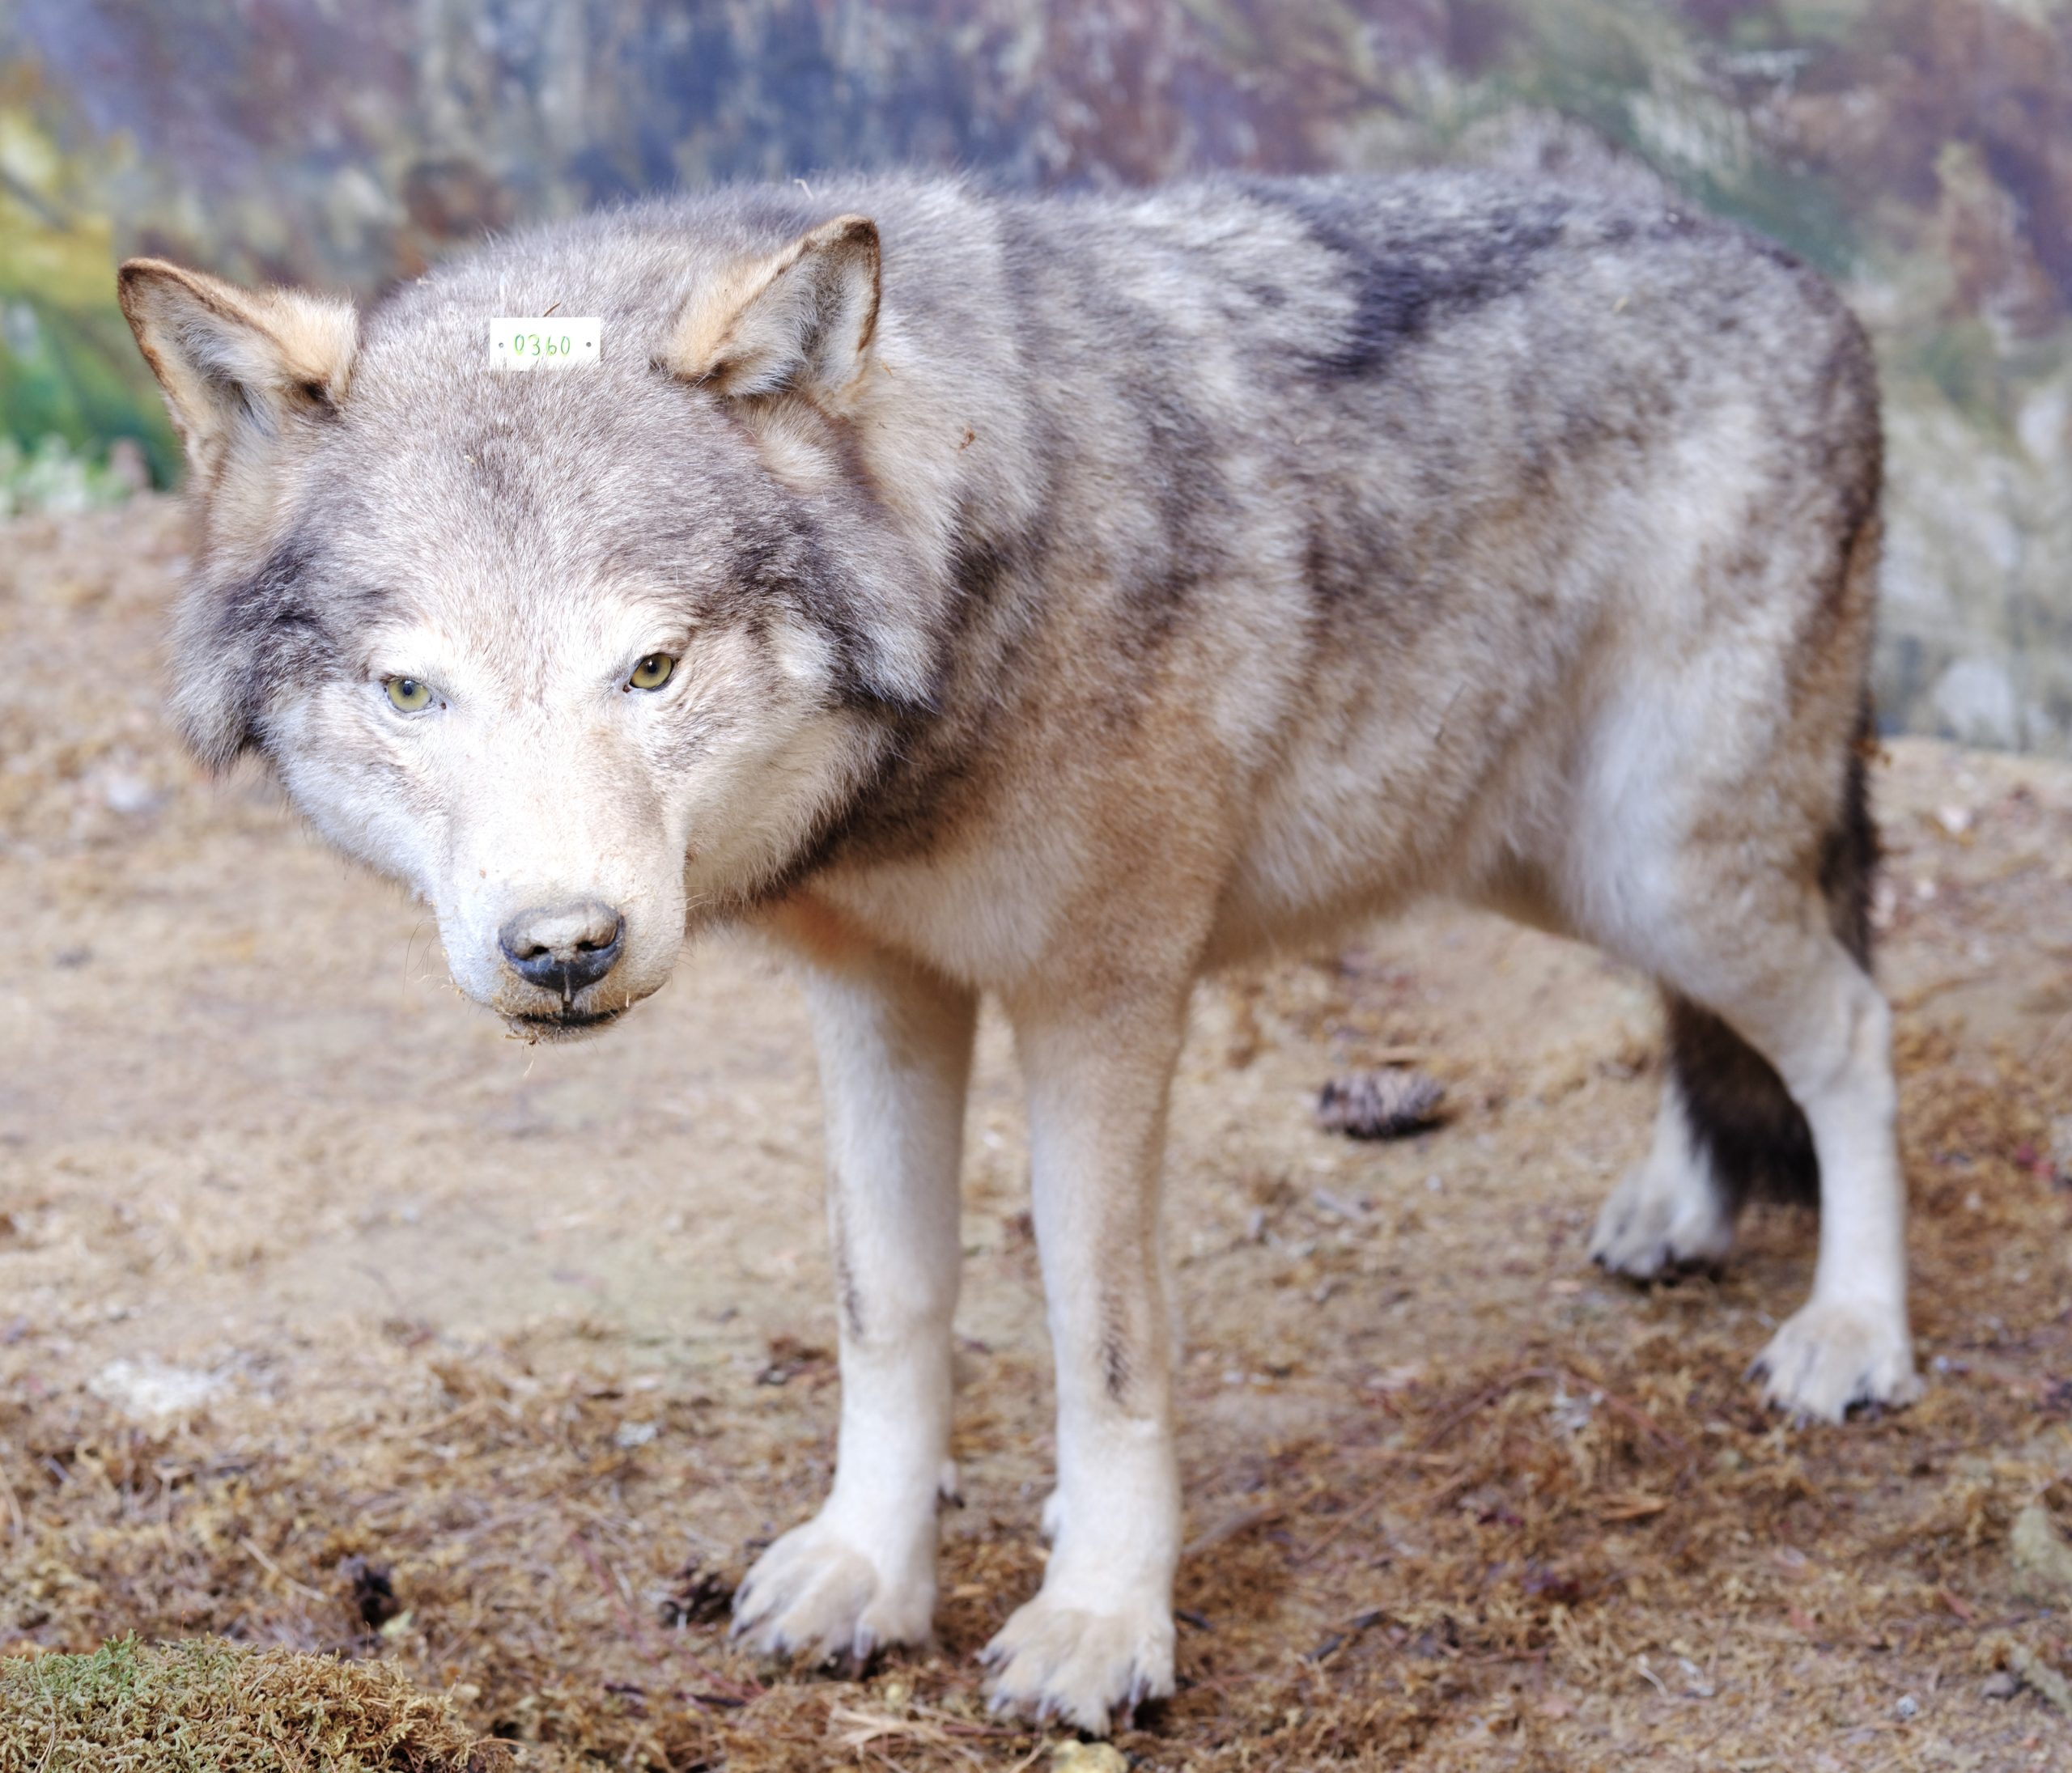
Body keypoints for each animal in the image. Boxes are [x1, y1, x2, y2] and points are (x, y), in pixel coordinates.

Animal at [120, 170, 1918, 1732]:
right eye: (411, 691)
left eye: (651, 667)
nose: (563, 949)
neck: (971, 588)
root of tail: (1797, 270)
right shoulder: (876, 997)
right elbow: (888, 1303)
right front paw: (870, 1567)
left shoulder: (1098, 1000)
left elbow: (1098, 1339)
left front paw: (1100, 1622)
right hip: (1545, 860)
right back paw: (1676, 1206)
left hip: (1655, 861)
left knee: (1847, 1019)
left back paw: (1854, 1334)